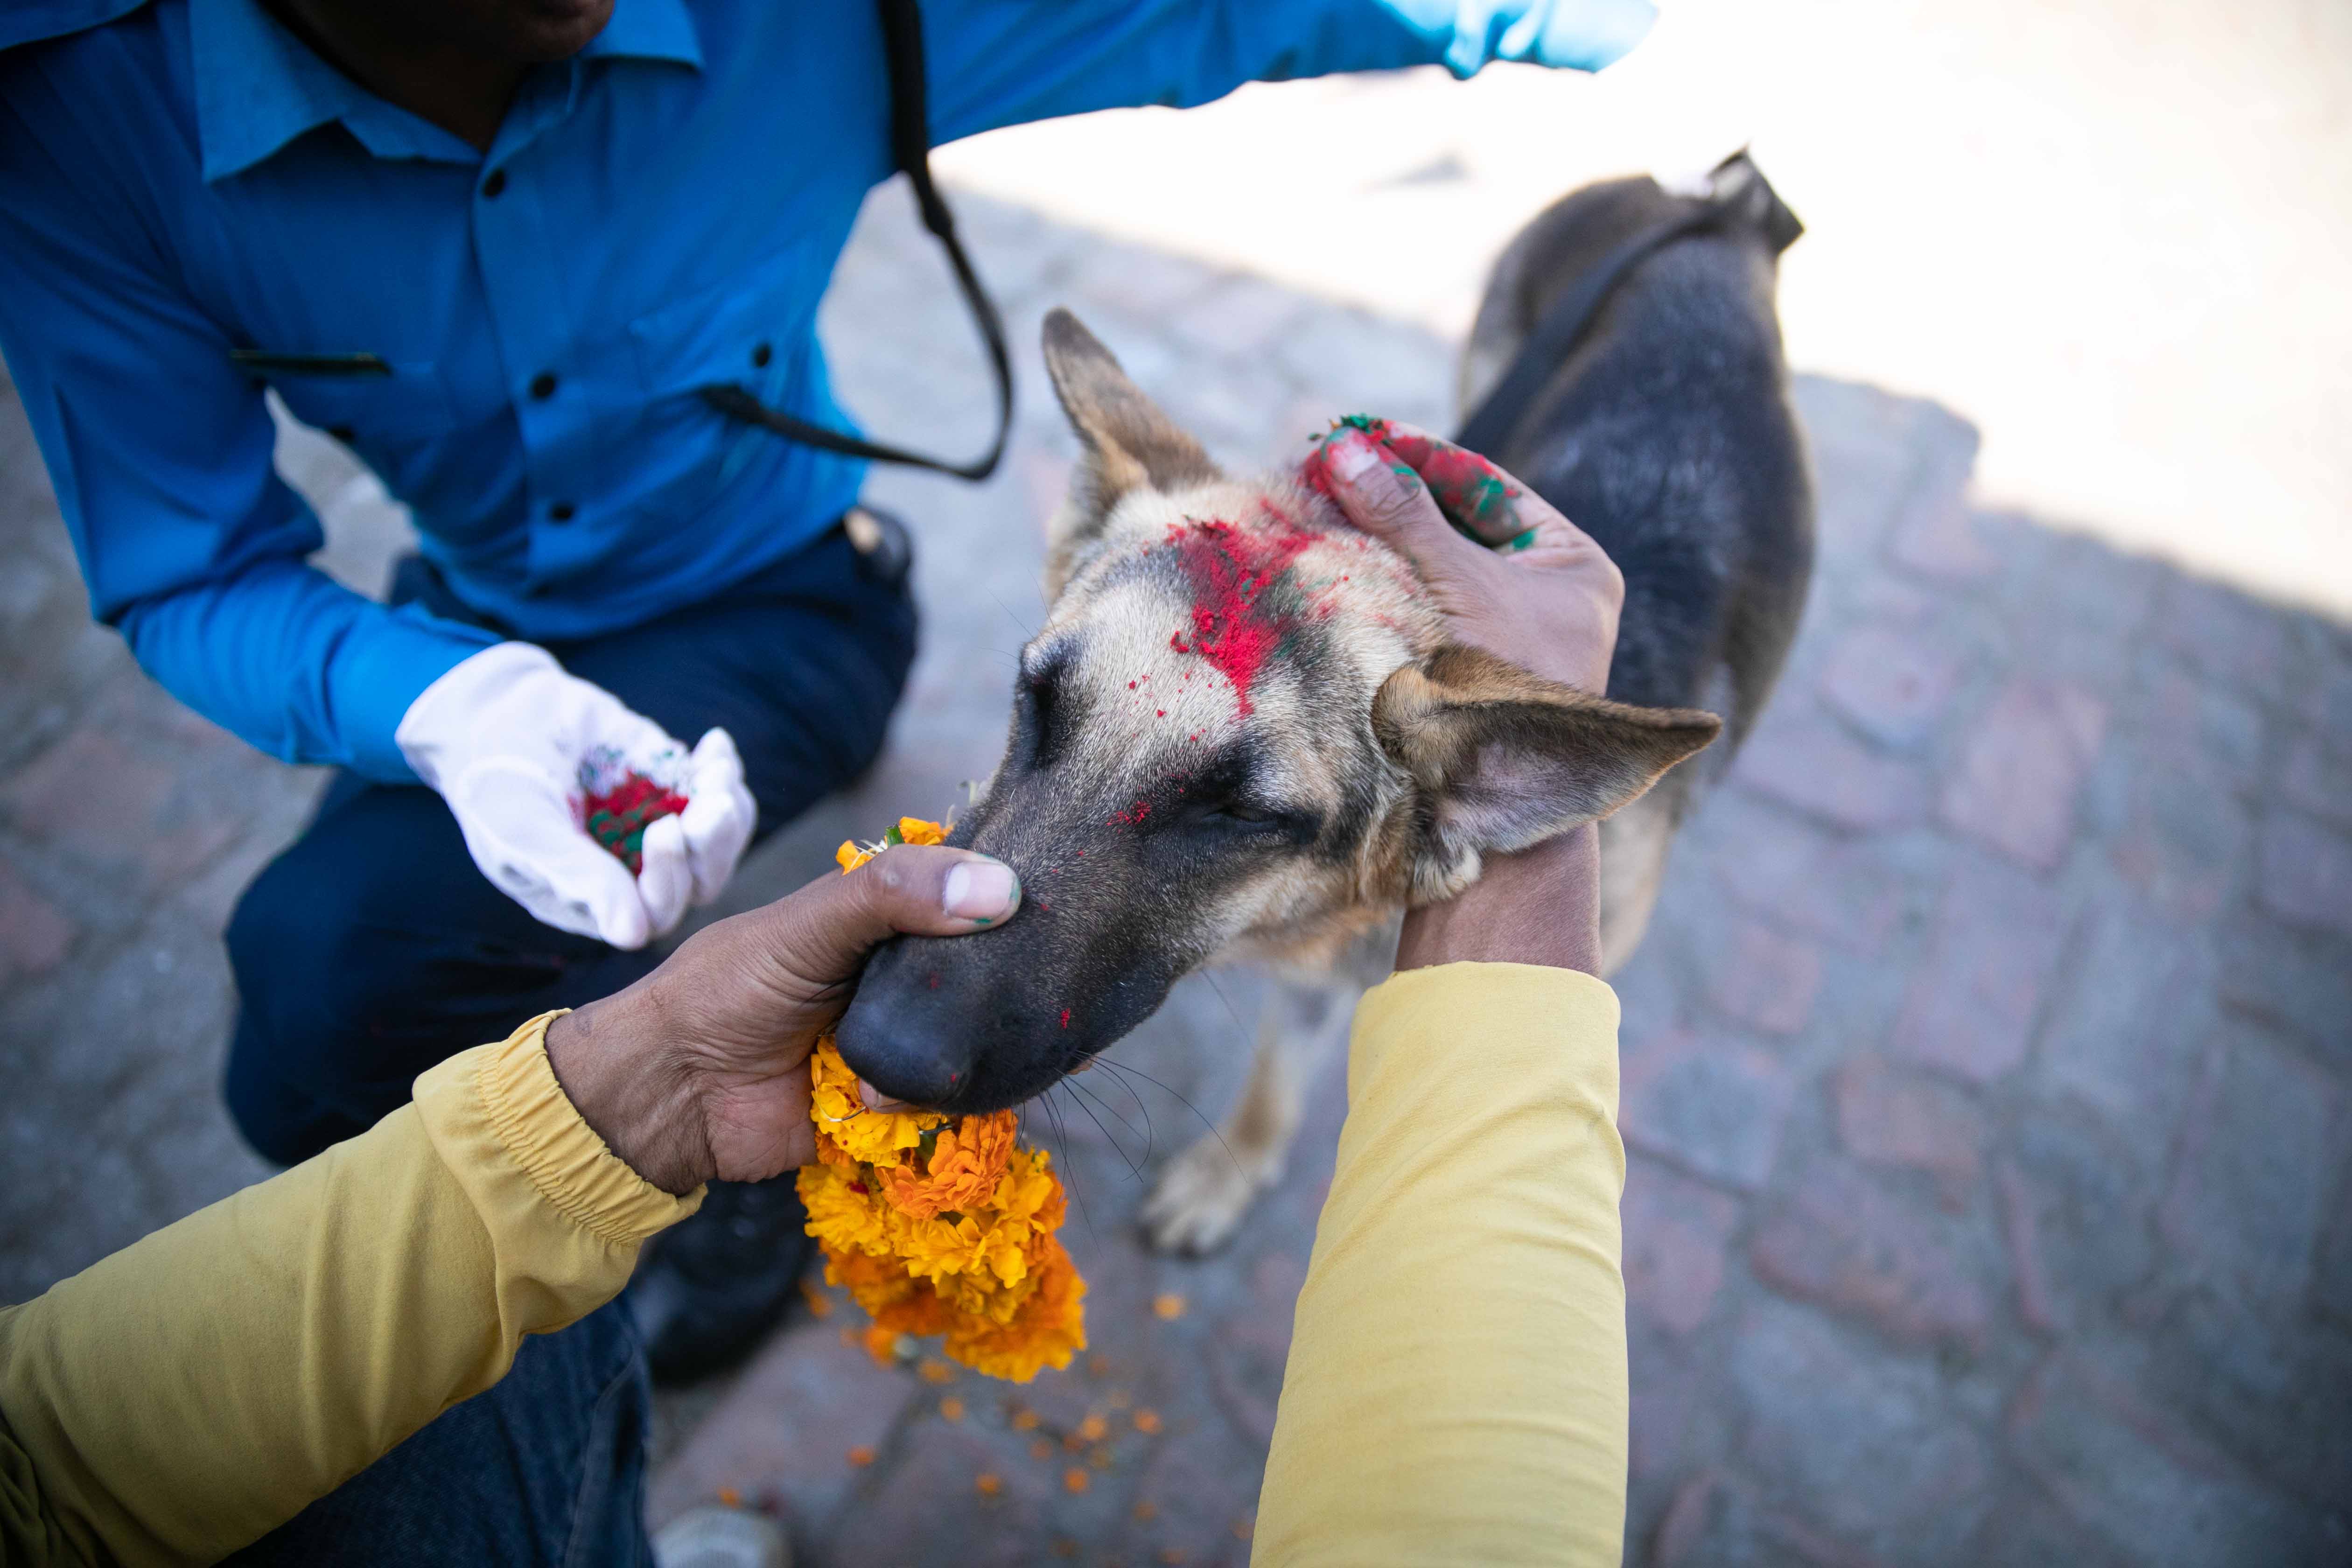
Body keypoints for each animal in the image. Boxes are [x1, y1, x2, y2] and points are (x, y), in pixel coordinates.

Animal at [847, 150, 1815, 1250]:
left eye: (1239, 814)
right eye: (1038, 698)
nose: (877, 1049)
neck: (1364, 930)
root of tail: (1717, 212)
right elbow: (1279, 1072)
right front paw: (1233, 1168)